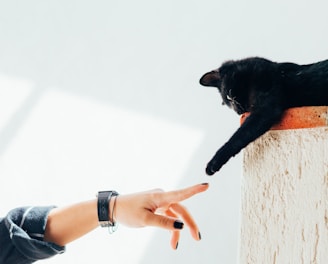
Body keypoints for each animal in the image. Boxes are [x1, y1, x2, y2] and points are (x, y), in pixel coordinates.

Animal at [199, 56, 328, 175]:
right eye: (226, 103)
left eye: (230, 97)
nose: (238, 112)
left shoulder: (265, 109)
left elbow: (238, 136)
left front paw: (213, 163)